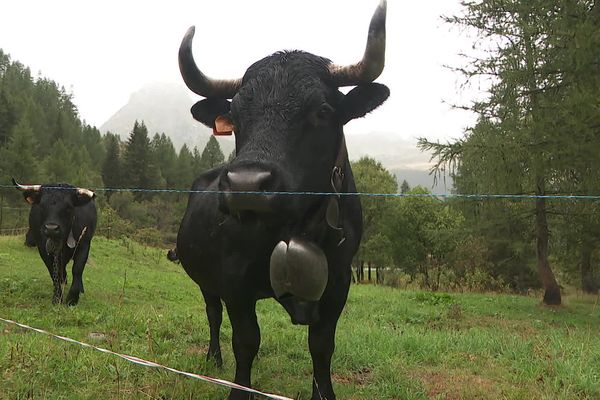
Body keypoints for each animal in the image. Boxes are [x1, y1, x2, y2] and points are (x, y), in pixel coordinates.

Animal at [173, 1, 390, 398]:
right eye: (235, 115)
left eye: (322, 110)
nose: (246, 184)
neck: (296, 226)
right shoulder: (234, 282)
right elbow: (246, 341)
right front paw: (238, 390)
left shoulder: (339, 283)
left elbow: (322, 346)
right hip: (205, 280)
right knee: (213, 314)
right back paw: (214, 359)